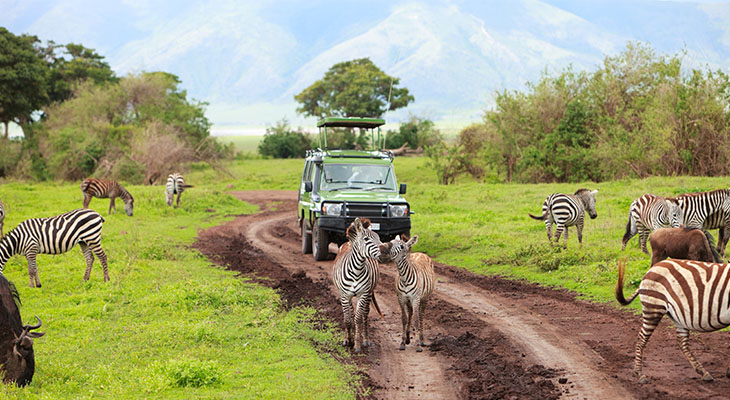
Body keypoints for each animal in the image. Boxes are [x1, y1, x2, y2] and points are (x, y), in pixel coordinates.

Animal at [332, 217, 384, 352]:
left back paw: (365, 339)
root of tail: (348, 242)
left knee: (365, 315)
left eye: (378, 237)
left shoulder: (363, 294)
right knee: (350, 313)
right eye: (366, 239)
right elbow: (347, 319)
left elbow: (358, 318)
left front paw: (357, 344)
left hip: (369, 293)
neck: (356, 270)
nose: (385, 250)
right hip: (348, 296)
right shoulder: (344, 295)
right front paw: (348, 340)